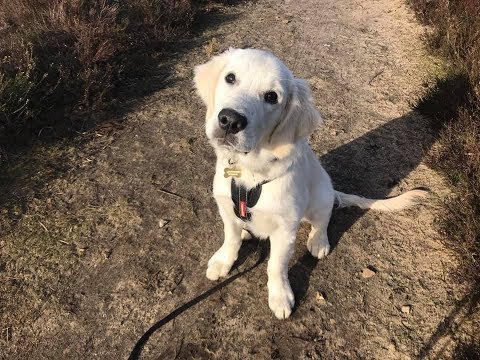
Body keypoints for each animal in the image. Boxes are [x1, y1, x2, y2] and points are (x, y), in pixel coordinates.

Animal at [193, 49, 426, 320]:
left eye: (271, 97)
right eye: (230, 77)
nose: (230, 121)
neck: (251, 173)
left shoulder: (285, 229)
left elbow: (276, 265)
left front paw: (280, 296)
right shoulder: (226, 208)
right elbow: (230, 238)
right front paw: (223, 261)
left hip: (321, 194)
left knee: (322, 220)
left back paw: (318, 241)